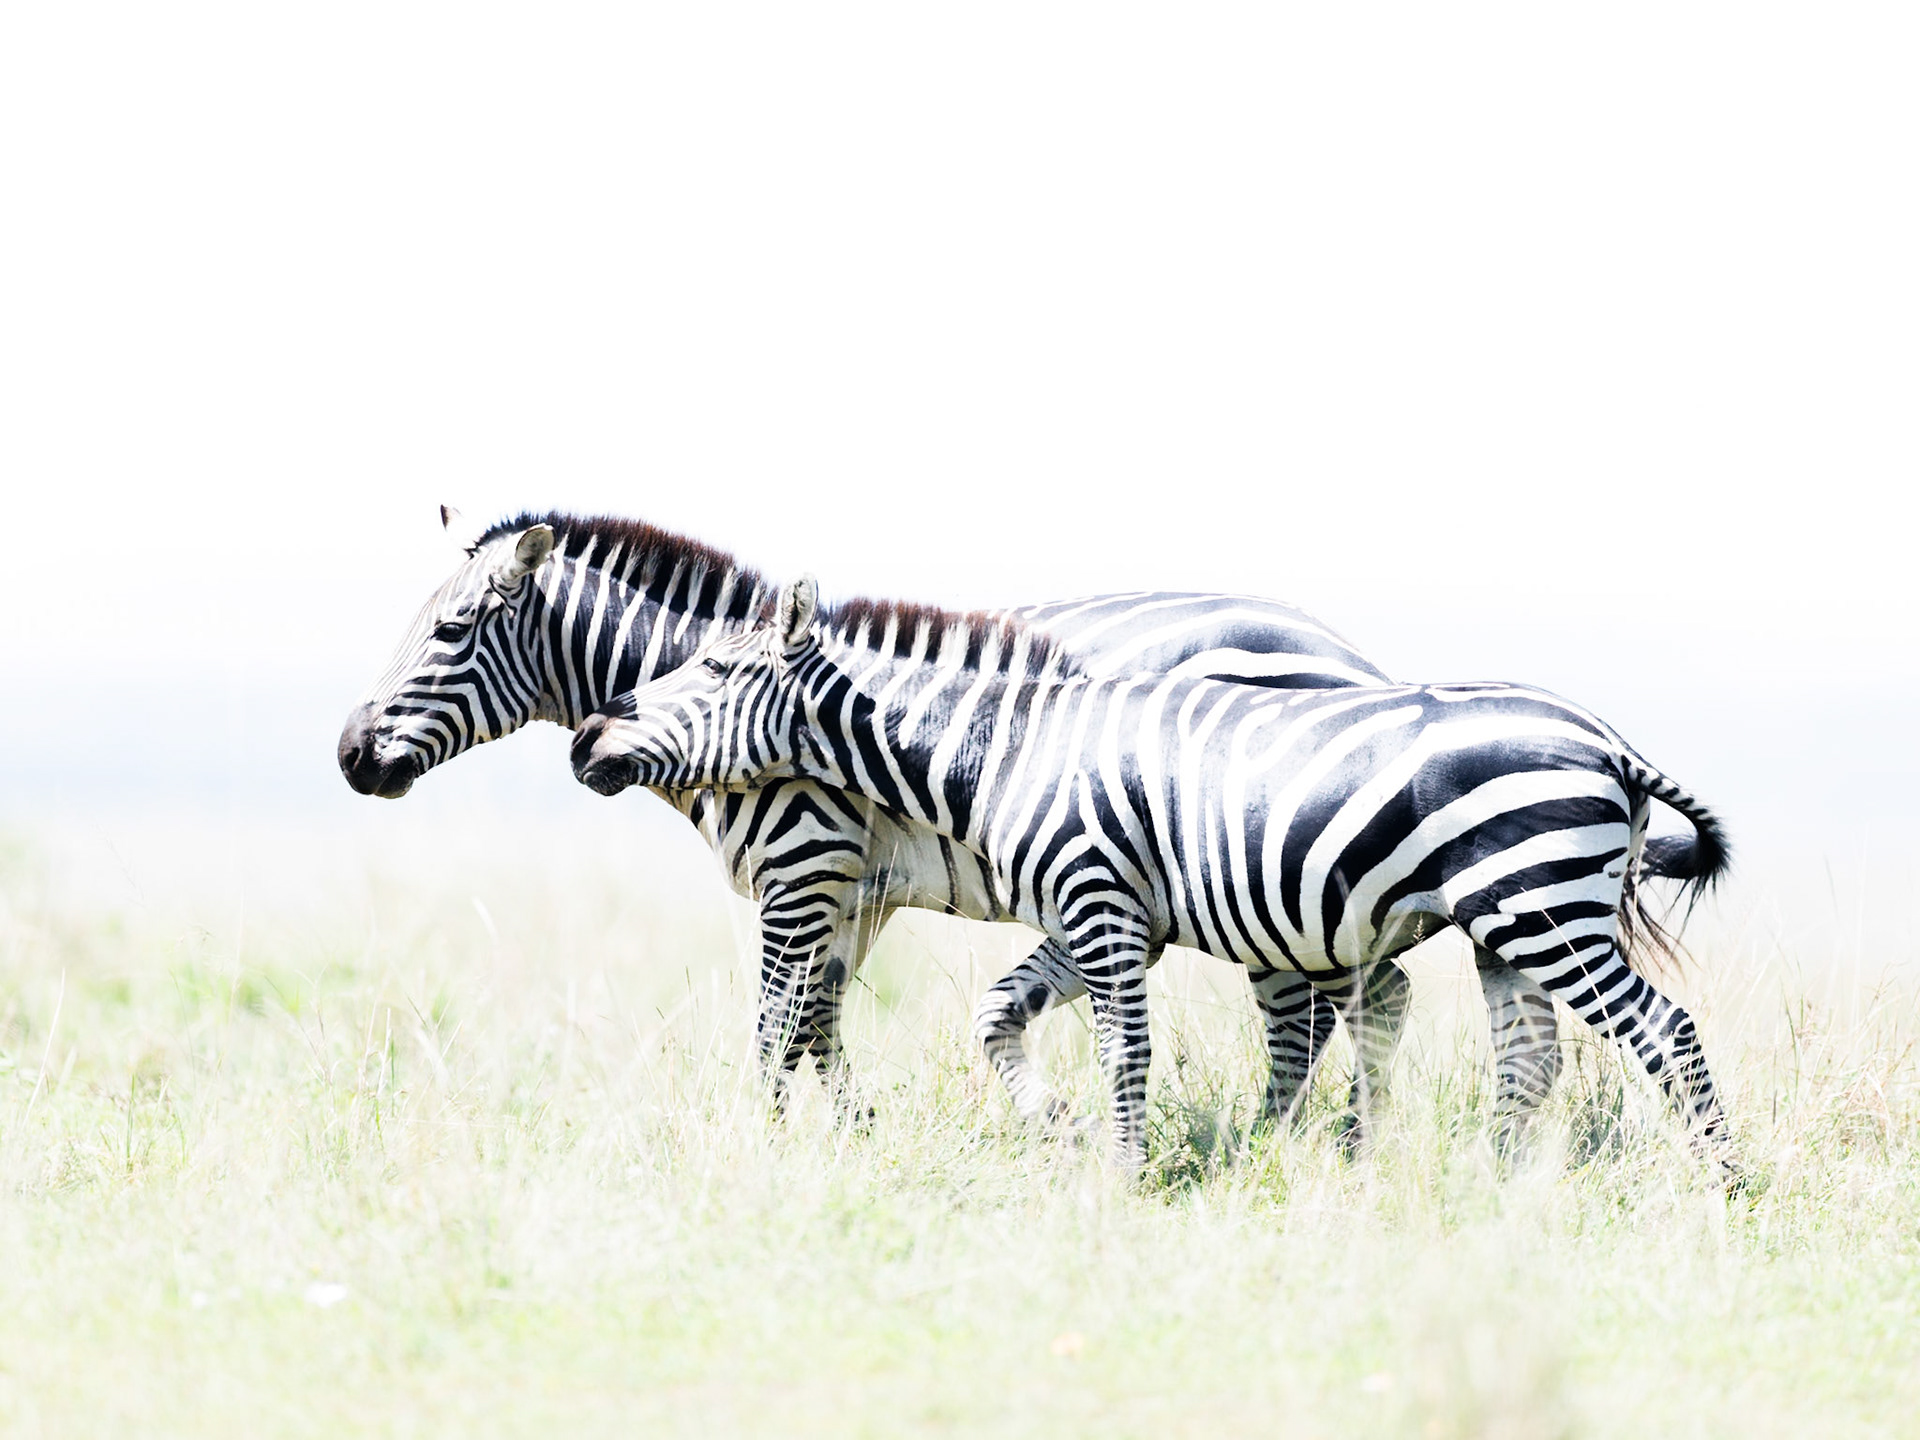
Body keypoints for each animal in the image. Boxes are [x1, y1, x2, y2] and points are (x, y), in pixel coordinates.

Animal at [570, 576, 1735, 1172]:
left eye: (715, 669)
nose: (588, 741)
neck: (1004, 748)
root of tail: (1608, 743)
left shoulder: (1099, 902)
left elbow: (1124, 1050)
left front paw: (1125, 1179)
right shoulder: (1100, 914)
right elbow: (1012, 1021)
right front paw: (1077, 1139)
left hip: (1545, 908)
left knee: (1664, 1031)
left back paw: (1724, 1185)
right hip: (1510, 924)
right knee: (1530, 1053)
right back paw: (1494, 1185)